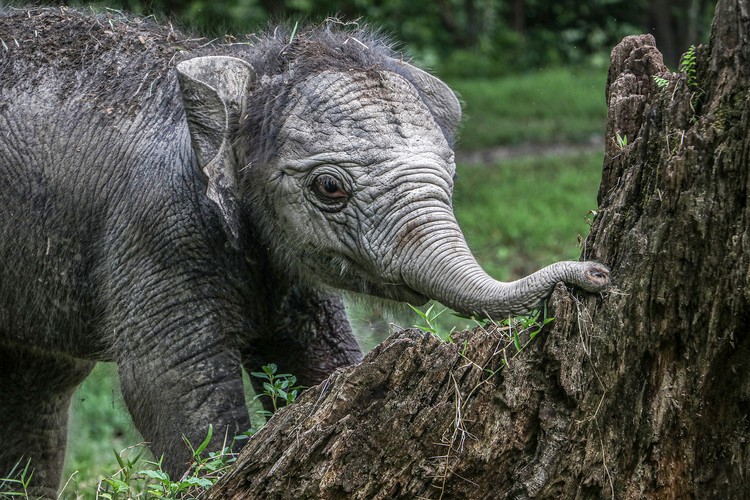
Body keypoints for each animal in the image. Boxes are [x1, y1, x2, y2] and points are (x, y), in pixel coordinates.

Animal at [0, 7, 608, 496]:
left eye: (451, 176)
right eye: (330, 187)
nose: (596, 273)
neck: (245, 68)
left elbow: (321, 356)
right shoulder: (157, 227)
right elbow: (173, 385)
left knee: (38, 384)